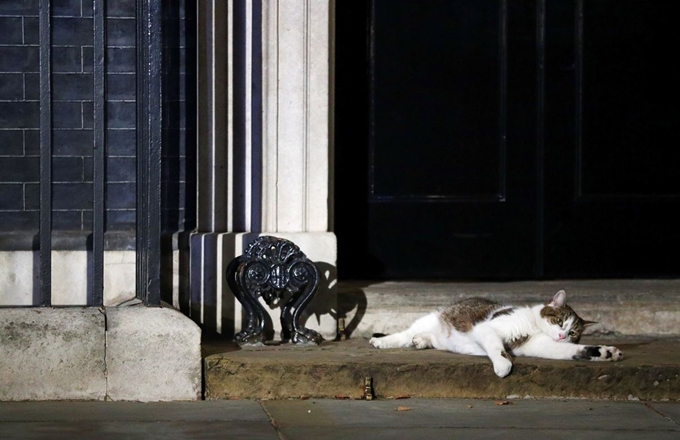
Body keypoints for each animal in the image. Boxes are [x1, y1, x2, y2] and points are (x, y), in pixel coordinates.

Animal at [370, 288, 624, 378]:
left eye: (573, 333)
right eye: (559, 321)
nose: (562, 336)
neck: (533, 327)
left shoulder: (541, 345)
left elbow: (571, 351)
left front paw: (605, 352)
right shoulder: (489, 328)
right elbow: (497, 348)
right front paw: (503, 365)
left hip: (440, 337)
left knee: (429, 338)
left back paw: (422, 341)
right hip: (431, 317)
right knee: (404, 334)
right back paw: (382, 342)